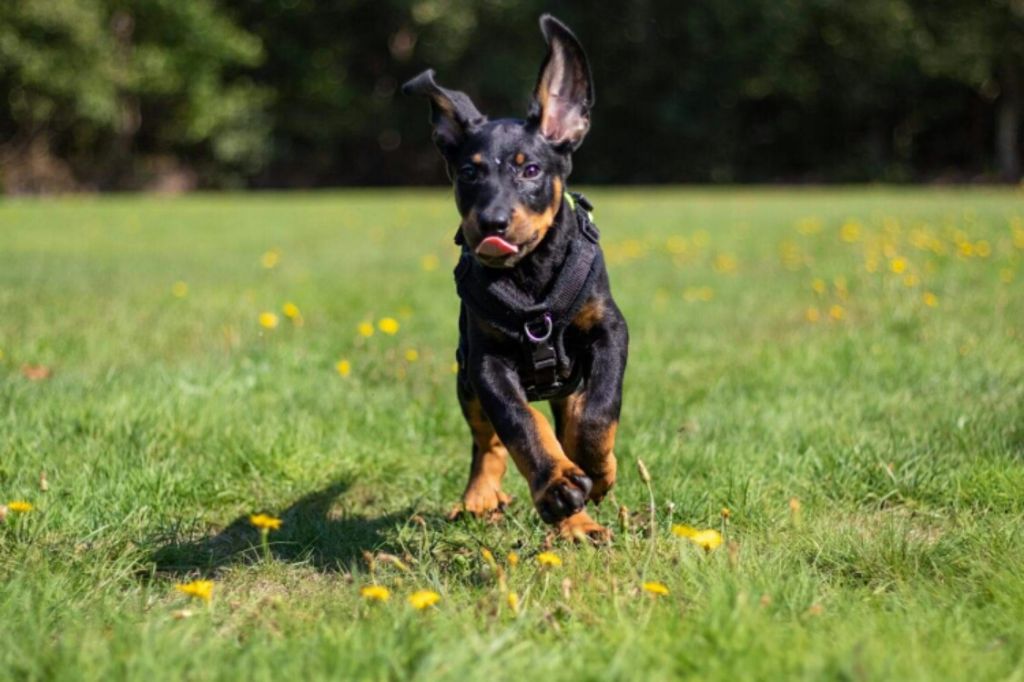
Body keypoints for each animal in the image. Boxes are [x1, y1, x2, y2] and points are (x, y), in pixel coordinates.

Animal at [403, 15, 627, 541]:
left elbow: (598, 411)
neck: (530, 278)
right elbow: (519, 425)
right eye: (468, 173)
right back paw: (482, 497)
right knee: (487, 441)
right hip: (465, 375)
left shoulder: (610, 329)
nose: (491, 223)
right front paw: (558, 483)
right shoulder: (487, 361)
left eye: (530, 170)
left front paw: (596, 467)